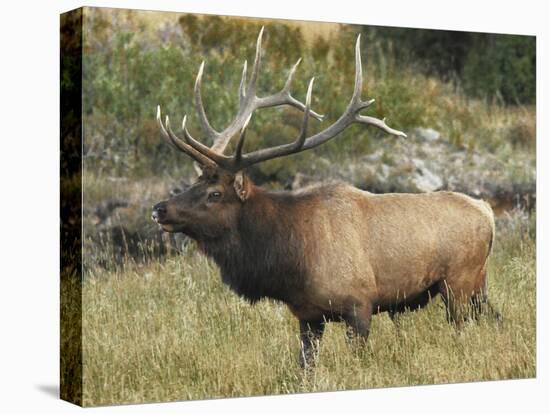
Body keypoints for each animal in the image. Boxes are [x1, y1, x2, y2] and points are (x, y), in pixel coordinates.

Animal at [153, 28, 502, 366]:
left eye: (215, 193)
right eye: (194, 182)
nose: (159, 209)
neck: (290, 260)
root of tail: (487, 211)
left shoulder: (359, 304)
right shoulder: (308, 316)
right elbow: (305, 367)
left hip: (459, 281)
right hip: (479, 284)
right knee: (495, 317)